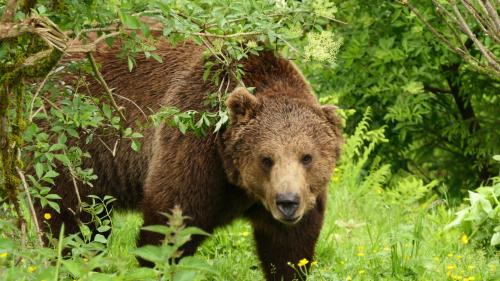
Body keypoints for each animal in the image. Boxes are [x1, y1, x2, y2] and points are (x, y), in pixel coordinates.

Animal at [37, 40, 344, 280]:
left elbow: (290, 250)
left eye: (307, 157)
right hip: (75, 147)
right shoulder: (194, 145)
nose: (287, 202)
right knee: (71, 220)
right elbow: (169, 227)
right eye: (266, 158)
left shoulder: (302, 201)